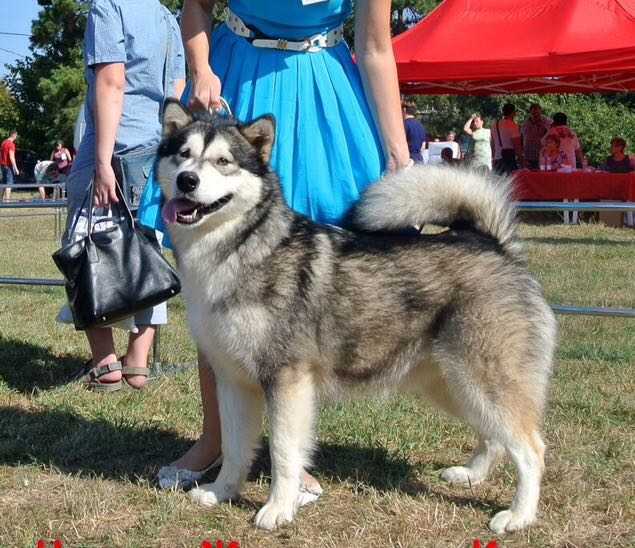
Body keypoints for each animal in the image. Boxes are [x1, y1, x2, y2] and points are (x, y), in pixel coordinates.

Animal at [158, 100, 556, 532]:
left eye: (223, 161)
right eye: (183, 154)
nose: (187, 181)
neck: (238, 251)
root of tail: (494, 245)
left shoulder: (287, 380)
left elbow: (283, 452)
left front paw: (278, 509)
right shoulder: (232, 379)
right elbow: (233, 447)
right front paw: (221, 492)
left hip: (482, 379)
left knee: (531, 449)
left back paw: (518, 515)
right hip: (453, 384)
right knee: (495, 437)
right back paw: (471, 475)